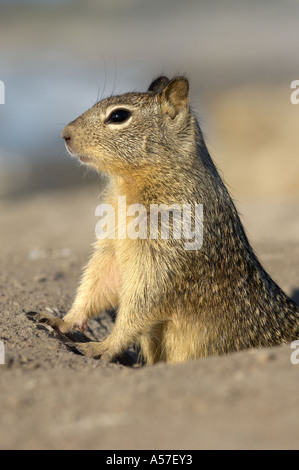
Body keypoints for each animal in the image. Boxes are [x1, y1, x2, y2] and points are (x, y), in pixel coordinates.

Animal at [37, 75, 299, 366]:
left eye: (118, 115)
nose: (65, 134)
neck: (129, 185)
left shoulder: (166, 253)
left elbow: (141, 305)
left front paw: (102, 346)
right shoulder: (112, 247)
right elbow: (97, 282)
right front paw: (63, 320)